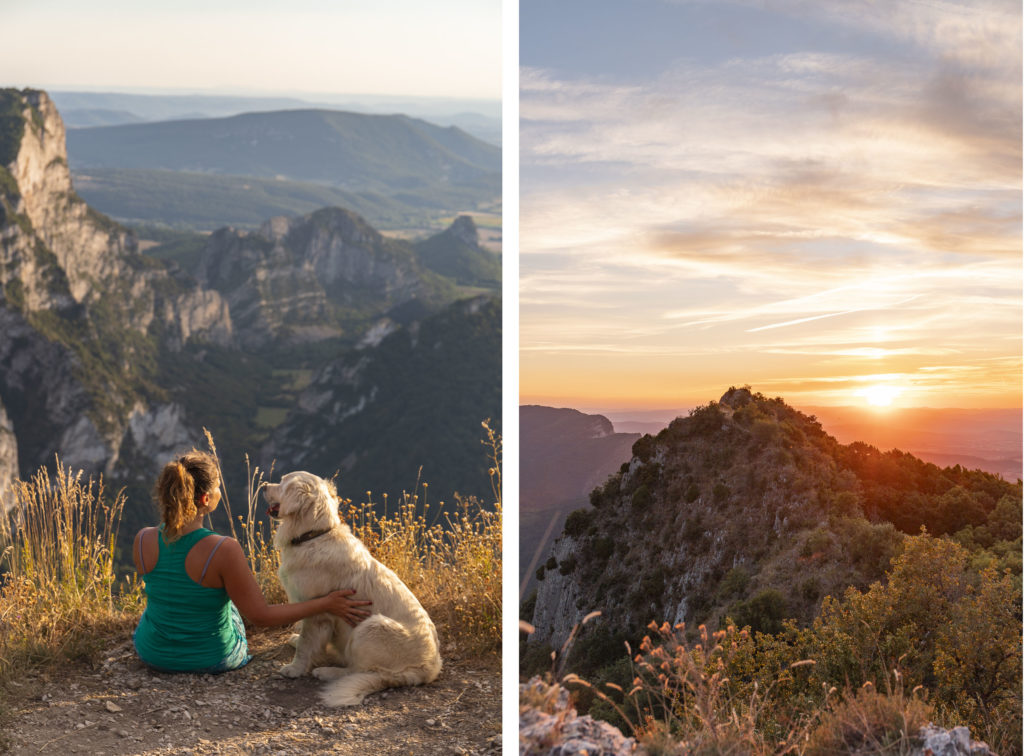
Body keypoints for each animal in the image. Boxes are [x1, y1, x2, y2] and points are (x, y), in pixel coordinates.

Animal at [264, 469, 440, 704]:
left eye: (283, 483)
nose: (264, 485)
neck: (314, 536)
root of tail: (428, 670)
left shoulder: (317, 610)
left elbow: (305, 644)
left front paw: (294, 669)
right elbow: (306, 640)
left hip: (371, 627)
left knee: (360, 670)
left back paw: (327, 672)